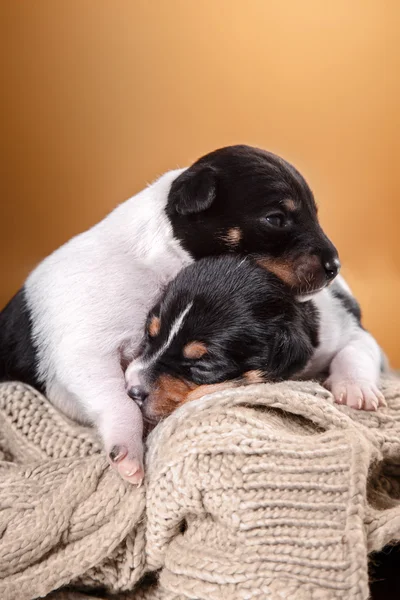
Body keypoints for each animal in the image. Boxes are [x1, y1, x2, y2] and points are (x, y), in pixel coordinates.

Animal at [0, 144, 340, 482]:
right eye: (275, 218)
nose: (335, 267)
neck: (157, 260)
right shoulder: (85, 353)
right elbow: (118, 401)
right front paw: (127, 451)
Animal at [126, 255, 384, 424]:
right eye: (150, 336)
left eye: (204, 366)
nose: (131, 390)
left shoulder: (350, 328)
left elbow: (354, 351)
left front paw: (355, 389)